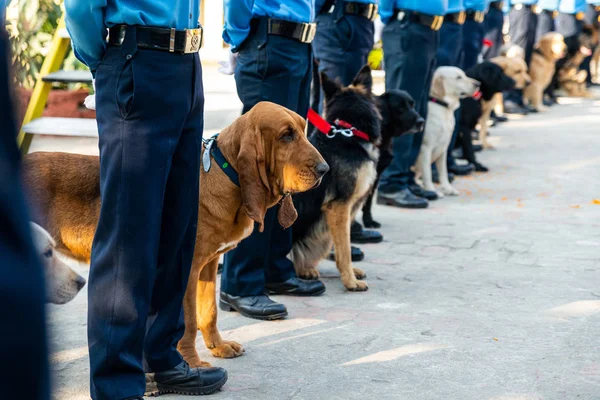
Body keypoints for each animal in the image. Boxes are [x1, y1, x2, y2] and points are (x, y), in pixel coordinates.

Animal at [23, 101, 328, 368]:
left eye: (303, 129)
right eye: (286, 135)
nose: (325, 170)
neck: (227, 174)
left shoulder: (209, 265)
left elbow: (209, 312)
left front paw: (218, 347)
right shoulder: (187, 269)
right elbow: (188, 322)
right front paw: (191, 364)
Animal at [358, 90, 424, 228]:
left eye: (412, 104)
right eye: (400, 107)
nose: (421, 121)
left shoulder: (376, 174)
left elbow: (368, 201)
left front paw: (368, 221)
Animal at [414, 67, 480, 198]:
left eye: (464, 75)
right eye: (458, 77)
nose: (478, 84)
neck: (444, 109)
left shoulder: (443, 148)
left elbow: (443, 172)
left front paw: (448, 189)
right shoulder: (426, 148)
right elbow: (428, 172)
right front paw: (432, 190)